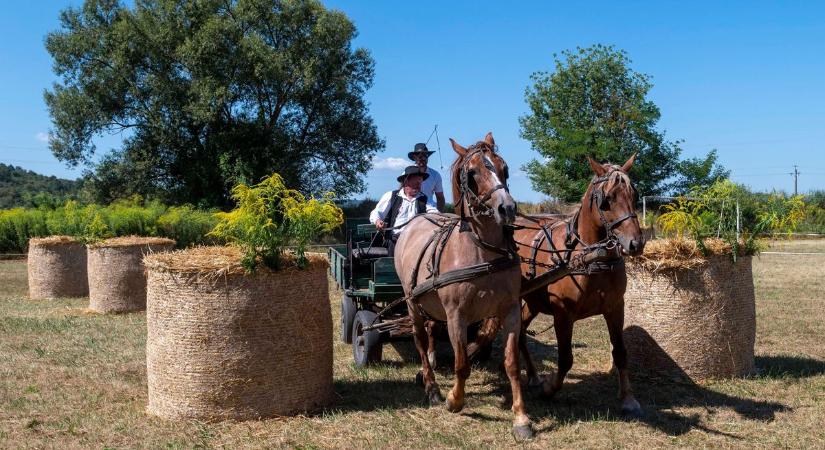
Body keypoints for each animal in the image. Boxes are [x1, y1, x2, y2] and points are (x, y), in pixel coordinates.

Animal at [394, 132, 536, 438]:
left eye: (504, 168)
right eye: (472, 173)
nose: (507, 208)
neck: (483, 252)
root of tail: (417, 219)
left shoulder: (510, 310)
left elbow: (511, 363)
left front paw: (521, 418)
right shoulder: (456, 316)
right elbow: (461, 365)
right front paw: (454, 400)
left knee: (431, 332)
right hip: (412, 303)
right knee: (420, 339)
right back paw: (431, 386)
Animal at [516, 155, 644, 414]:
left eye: (634, 195)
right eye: (607, 199)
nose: (635, 243)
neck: (589, 257)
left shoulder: (615, 307)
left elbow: (620, 352)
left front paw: (628, 398)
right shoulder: (563, 314)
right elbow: (566, 358)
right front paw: (549, 389)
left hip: (533, 301)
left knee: (522, 331)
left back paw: (533, 376)